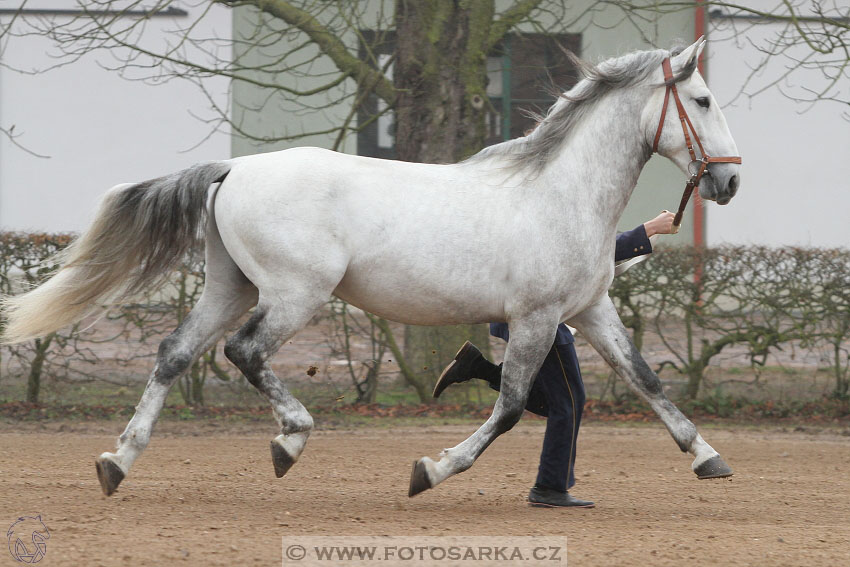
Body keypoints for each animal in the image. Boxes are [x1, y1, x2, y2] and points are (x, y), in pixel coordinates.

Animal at [1, 37, 736, 496]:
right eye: (702, 101)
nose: (728, 183)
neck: (561, 191)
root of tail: (233, 167)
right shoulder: (536, 318)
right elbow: (509, 407)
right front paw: (429, 470)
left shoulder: (588, 310)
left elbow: (645, 378)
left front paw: (708, 457)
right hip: (295, 293)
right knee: (243, 351)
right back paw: (289, 441)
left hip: (229, 284)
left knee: (174, 353)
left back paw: (117, 462)